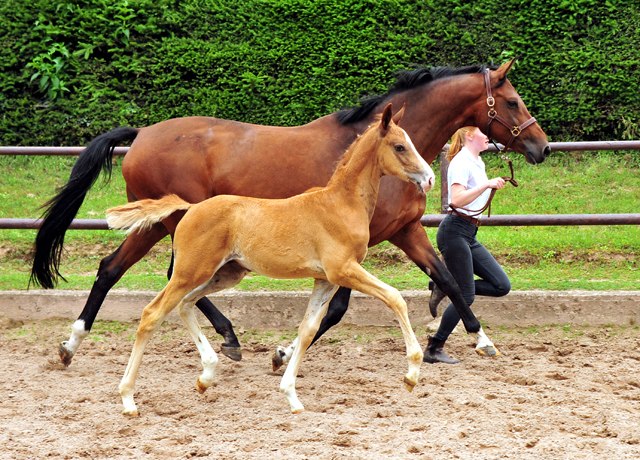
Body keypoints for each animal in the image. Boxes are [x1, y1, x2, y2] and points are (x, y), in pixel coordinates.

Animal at [30, 59, 552, 366]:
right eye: (511, 100)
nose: (541, 146)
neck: (371, 158)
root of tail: (140, 135)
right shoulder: (350, 249)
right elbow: (337, 308)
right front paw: (283, 352)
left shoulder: (404, 232)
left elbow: (448, 280)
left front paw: (479, 339)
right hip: (172, 224)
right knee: (139, 275)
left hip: (170, 227)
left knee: (127, 271)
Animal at [107, 107, 442, 414]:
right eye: (399, 146)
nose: (429, 179)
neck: (340, 203)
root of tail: (191, 207)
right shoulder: (343, 270)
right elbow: (395, 298)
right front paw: (412, 373)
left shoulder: (325, 279)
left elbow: (307, 330)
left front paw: (291, 395)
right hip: (191, 271)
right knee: (152, 313)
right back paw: (127, 398)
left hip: (225, 274)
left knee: (185, 304)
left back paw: (207, 375)